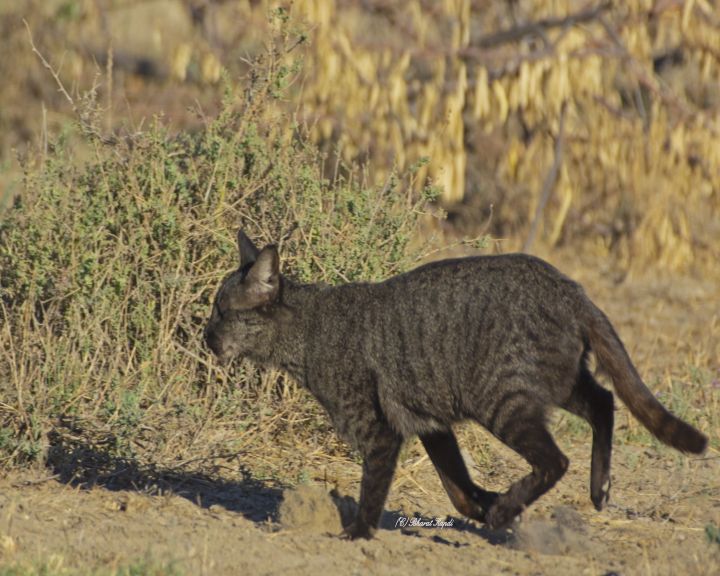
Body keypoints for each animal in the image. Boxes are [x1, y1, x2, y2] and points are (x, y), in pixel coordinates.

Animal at [204, 231, 708, 540]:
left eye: (223, 313)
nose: (206, 337)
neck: (308, 332)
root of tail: (572, 288)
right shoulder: (431, 424)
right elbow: (458, 488)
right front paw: (486, 503)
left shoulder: (381, 432)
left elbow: (374, 490)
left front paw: (358, 534)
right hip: (559, 382)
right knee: (604, 403)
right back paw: (595, 489)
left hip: (503, 401)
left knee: (556, 458)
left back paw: (514, 508)